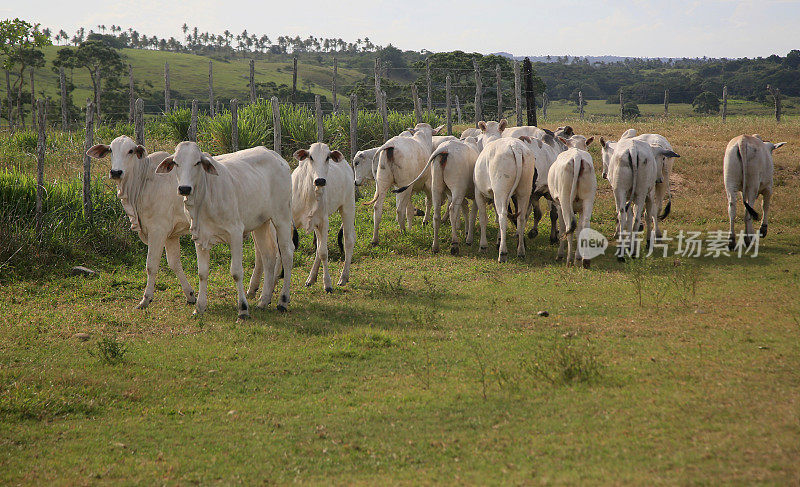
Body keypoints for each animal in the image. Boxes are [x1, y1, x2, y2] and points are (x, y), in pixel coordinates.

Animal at [86, 135, 197, 308]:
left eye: (131, 151)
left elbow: (151, 265)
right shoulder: (171, 235)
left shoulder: (158, 231)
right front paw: (190, 295)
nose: (116, 172)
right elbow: (174, 263)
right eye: (110, 149)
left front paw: (146, 299)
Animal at [156, 142, 294, 320]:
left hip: (282, 217)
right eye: (176, 163)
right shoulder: (199, 237)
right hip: (261, 224)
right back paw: (264, 300)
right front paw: (199, 307)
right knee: (268, 256)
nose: (184, 188)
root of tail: (276, 156)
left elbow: (236, 272)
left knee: (287, 254)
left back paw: (283, 301)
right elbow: (202, 273)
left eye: (197, 162)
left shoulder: (235, 233)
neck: (205, 198)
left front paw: (243, 309)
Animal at [290, 143, 354, 292]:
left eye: (327, 158)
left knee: (348, 241)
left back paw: (343, 277)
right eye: (311, 157)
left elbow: (324, 252)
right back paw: (311, 279)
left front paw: (327, 284)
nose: (320, 180)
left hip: (348, 207)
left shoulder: (324, 222)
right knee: (319, 247)